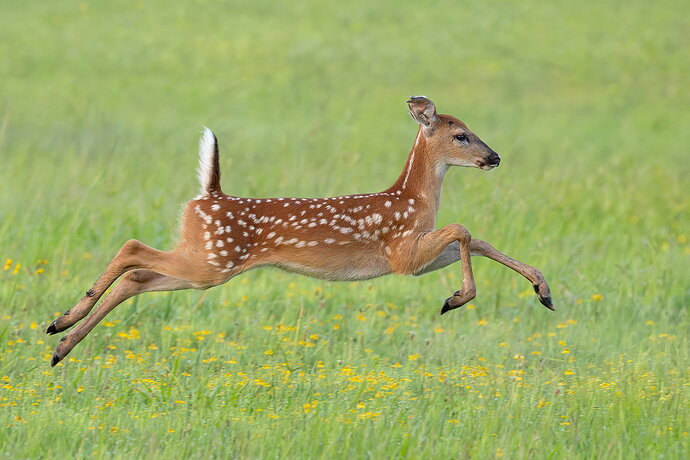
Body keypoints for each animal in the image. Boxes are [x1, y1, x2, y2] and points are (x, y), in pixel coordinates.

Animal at [46, 96, 553, 366]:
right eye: (461, 134)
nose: (495, 157)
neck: (413, 200)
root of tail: (208, 195)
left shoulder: (417, 257)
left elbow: (477, 238)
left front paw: (542, 290)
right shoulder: (401, 255)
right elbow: (464, 230)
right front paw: (457, 298)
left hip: (203, 261)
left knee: (136, 276)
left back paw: (61, 341)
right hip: (211, 260)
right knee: (132, 248)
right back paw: (63, 324)